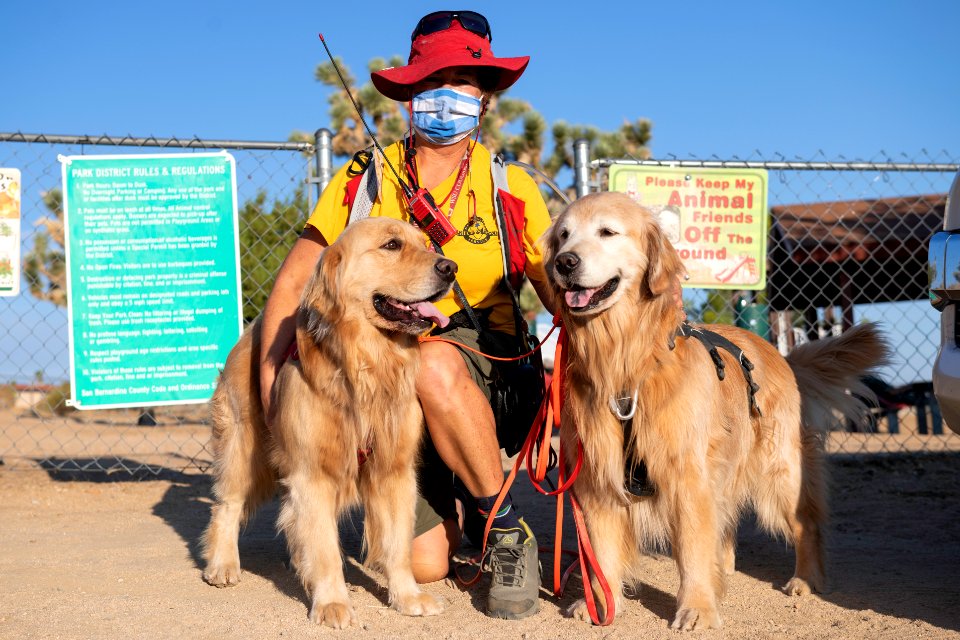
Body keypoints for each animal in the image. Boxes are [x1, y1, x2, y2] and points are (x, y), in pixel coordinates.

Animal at [202, 218, 454, 628]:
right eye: (392, 245)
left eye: (426, 243)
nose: (450, 268)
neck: (366, 366)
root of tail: (252, 328)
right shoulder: (313, 474)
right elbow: (325, 548)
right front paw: (333, 603)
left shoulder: (394, 471)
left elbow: (397, 544)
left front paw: (407, 596)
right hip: (244, 449)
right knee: (227, 505)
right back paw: (222, 565)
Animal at [544, 191, 888, 632]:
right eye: (563, 235)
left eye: (607, 231)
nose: (564, 262)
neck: (627, 363)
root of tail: (781, 355)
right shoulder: (598, 477)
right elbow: (602, 552)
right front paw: (602, 606)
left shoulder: (687, 473)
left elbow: (692, 548)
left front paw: (697, 608)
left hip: (779, 472)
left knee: (805, 524)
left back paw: (805, 579)